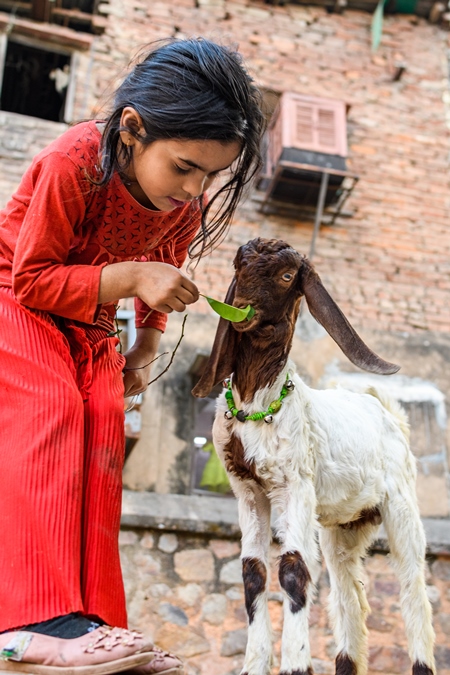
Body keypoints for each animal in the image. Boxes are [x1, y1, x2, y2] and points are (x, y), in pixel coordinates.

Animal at [192, 238, 436, 675]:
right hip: (345, 527)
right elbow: (252, 573)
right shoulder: (249, 493)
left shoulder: (296, 487)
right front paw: (255, 664)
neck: (259, 402)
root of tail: (389, 415)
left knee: (412, 588)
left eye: (288, 275)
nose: (240, 306)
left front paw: (295, 664)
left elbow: (293, 569)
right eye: (239, 265)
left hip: (402, 506)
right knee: (349, 596)